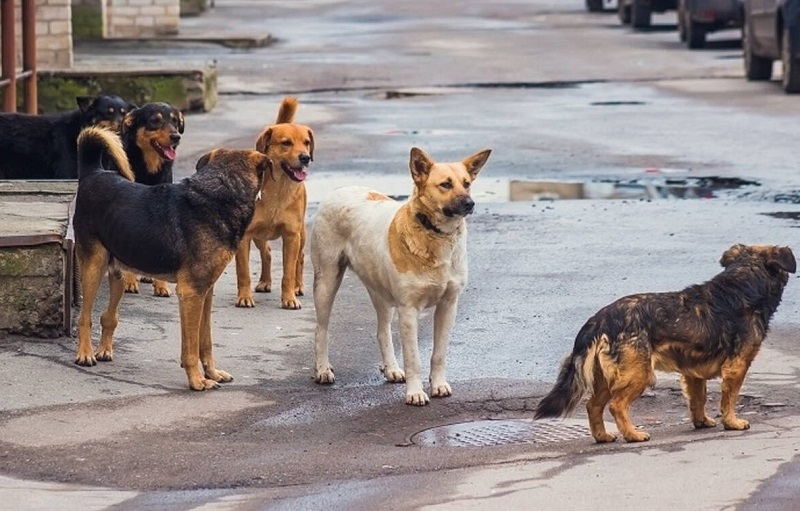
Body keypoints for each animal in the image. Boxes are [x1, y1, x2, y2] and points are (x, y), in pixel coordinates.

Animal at [71, 127, 268, 392]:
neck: (221, 190)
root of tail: (94, 173)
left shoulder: (206, 292)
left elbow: (205, 341)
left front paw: (212, 373)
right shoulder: (191, 293)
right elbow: (191, 348)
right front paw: (197, 380)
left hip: (118, 273)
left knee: (108, 316)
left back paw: (104, 349)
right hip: (93, 266)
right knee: (84, 317)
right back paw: (85, 353)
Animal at [234, 97, 312, 310]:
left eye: (307, 143)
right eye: (286, 143)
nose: (306, 158)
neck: (278, 190)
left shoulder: (291, 236)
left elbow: (288, 272)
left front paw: (289, 298)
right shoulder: (244, 237)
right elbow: (243, 272)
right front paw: (244, 297)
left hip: (301, 234)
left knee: (300, 258)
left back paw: (298, 286)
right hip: (259, 235)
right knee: (267, 253)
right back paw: (265, 281)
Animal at [310, 146, 490, 406]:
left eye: (467, 184)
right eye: (445, 184)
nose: (470, 203)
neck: (434, 234)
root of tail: (340, 190)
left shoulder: (448, 306)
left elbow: (439, 354)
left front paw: (438, 384)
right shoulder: (409, 311)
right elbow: (413, 358)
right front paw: (415, 392)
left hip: (380, 293)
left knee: (382, 331)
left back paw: (392, 368)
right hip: (326, 282)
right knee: (321, 330)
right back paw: (323, 369)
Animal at [536, 244, 792, 444]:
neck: (743, 282)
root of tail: (600, 319)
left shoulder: (693, 373)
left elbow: (698, 399)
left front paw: (701, 421)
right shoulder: (737, 367)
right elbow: (729, 399)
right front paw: (732, 422)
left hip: (607, 378)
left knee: (593, 406)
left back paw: (603, 436)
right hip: (639, 374)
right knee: (616, 405)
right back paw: (632, 435)